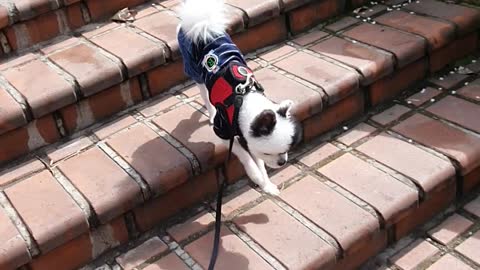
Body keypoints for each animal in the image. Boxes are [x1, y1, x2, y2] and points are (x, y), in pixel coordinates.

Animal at [178, 0, 302, 195]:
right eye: (268, 153)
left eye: (286, 150)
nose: (282, 162)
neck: (244, 99)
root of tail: (201, 22)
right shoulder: (224, 132)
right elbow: (246, 157)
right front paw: (256, 176)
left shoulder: (248, 137)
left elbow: (258, 162)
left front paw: (266, 185)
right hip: (194, 70)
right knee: (204, 94)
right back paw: (211, 113)